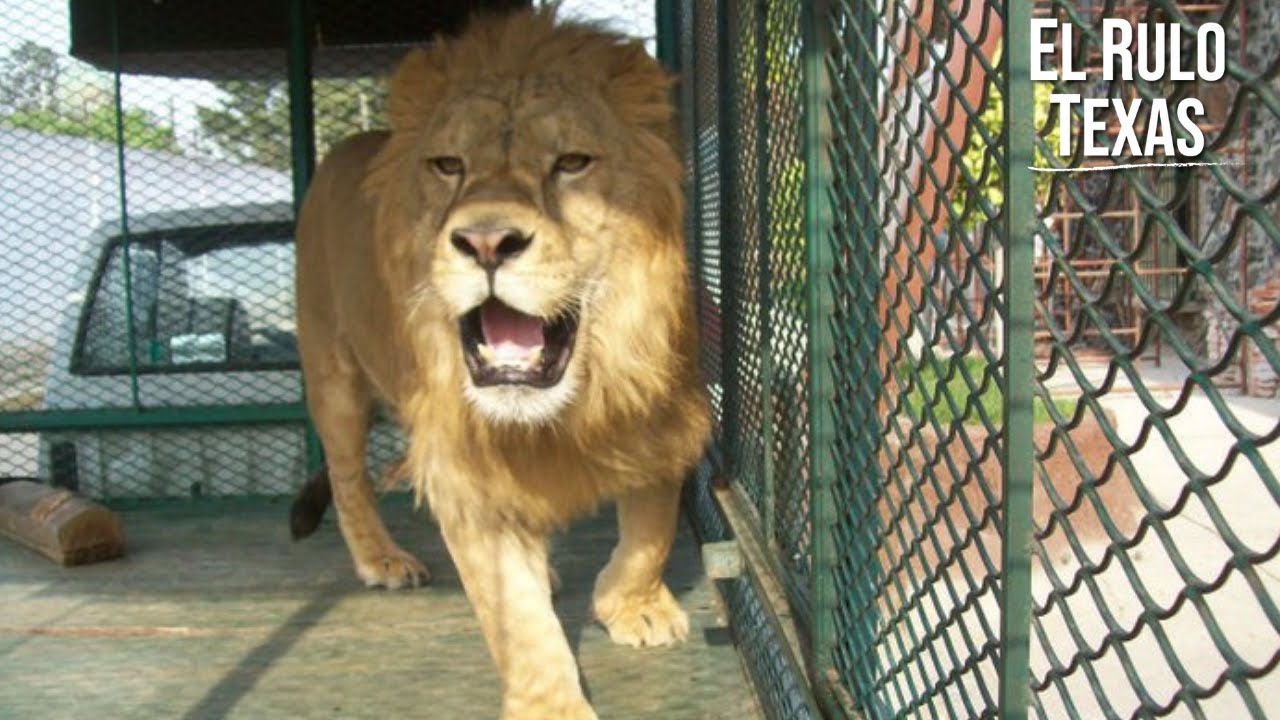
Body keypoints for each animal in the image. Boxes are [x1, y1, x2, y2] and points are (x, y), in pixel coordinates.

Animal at [289, 10, 711, 719]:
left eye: (571, 162)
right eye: (447, 165)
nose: (486, 241)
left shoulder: (661, 407)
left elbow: (651, 526)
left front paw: (634, 606)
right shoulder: (465, 465)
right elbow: (517, 617)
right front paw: (551, 706)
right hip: (333, 374)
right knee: (348, 480)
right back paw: (383, 559)